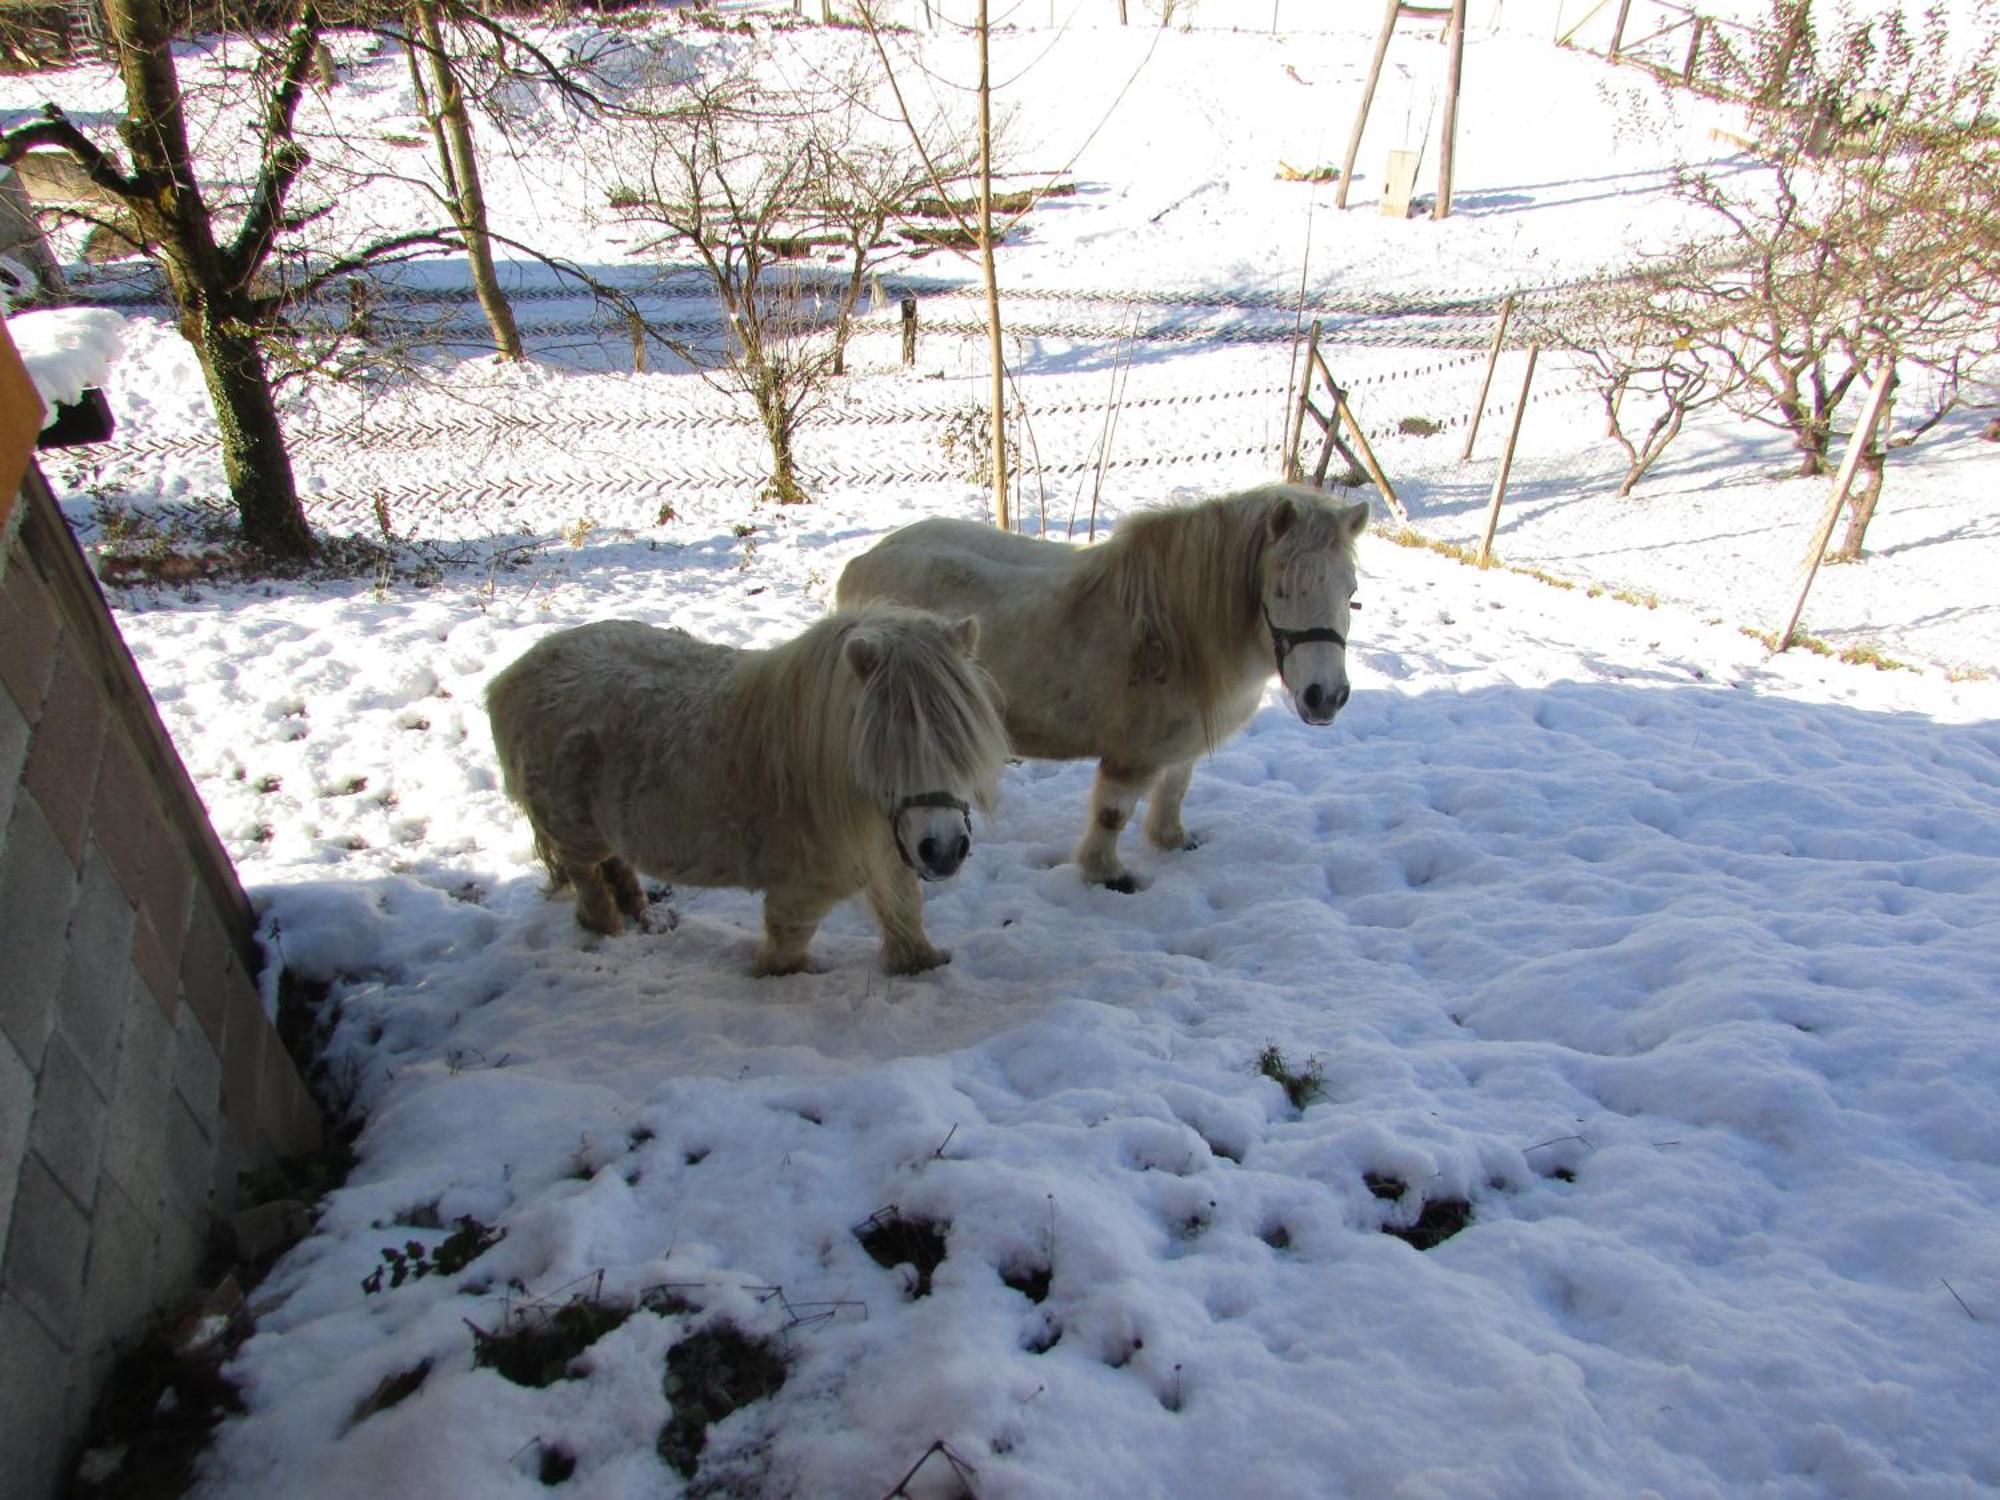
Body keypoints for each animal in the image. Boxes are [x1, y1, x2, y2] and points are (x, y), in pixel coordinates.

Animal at [482, 604, 1008, 980]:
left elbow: (904, 910)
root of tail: (513, 675)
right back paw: (607, 929)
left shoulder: (888, 851)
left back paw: (643, 915)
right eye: (885, 747)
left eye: (961, 741)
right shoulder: (804, 888)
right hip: (574, 830)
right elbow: (787, 945)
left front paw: (921, 963)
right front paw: (784, 975)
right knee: (587, 875)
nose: (944, 850)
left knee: (616, 865)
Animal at [836, 484, 1368, 892]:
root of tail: (861, 562)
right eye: (1282, 590)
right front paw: (1106, 874)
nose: (1326, 696)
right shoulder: (1132, 755)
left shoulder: (1183, 744)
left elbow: (1175, 789)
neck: (1179, 633)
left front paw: (1172, 841)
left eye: (1351, 592)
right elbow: (1112, 815)